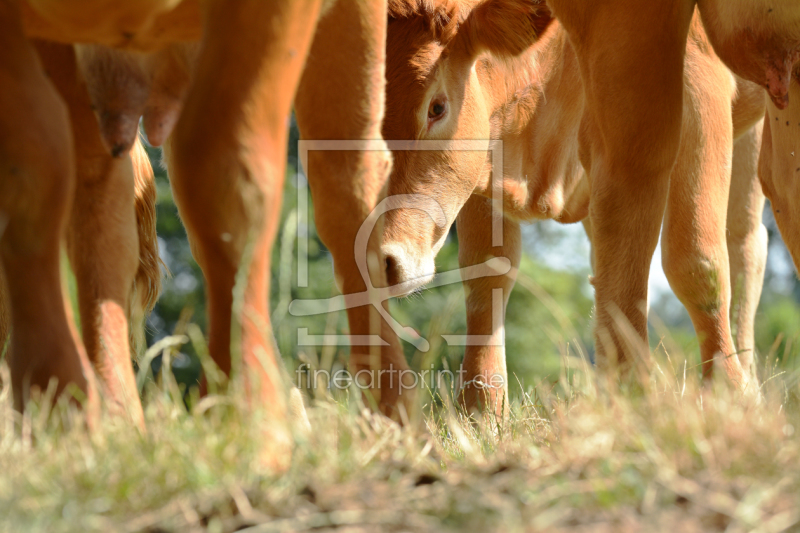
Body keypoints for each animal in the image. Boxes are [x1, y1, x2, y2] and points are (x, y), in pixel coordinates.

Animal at [382, 0, 768, 414]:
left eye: (436, 108)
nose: (385, 259)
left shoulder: (697, 87)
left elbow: (696, 262)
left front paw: (728, 394)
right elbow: (487, 273)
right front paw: (480, 411)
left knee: (744, 244)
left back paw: (747, 382)